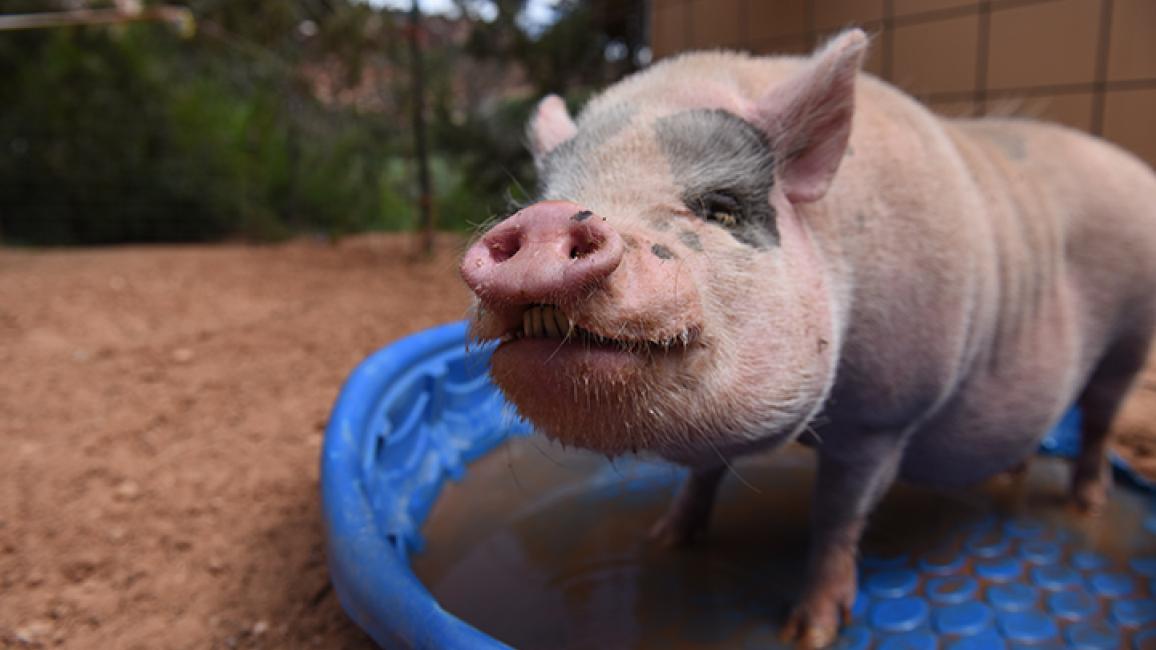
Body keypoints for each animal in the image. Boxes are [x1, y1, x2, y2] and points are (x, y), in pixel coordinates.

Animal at [459, 28, 1156, 648]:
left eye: (721, 208)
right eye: (548, 196)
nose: (548, 219)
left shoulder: (884, 416)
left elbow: (837, 515)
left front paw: (810, 631)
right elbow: (703, 475)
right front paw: (664, 540)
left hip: (1131, 336)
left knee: (1099, 417)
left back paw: (1087, 507)